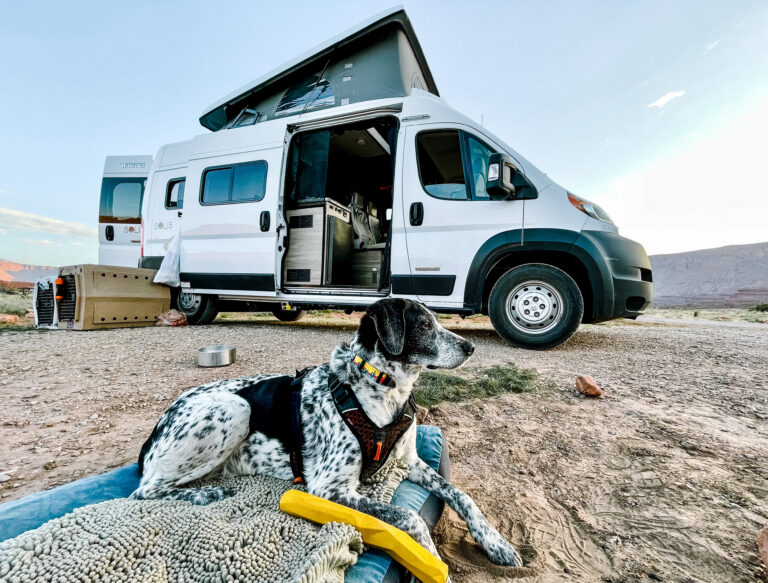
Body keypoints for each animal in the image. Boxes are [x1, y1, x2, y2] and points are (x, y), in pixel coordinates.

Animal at [132, 302, 520, 564]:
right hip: (234, 408)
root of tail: (156, 429)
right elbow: (408, 516)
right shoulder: (328, 488)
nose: (471, 347)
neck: (385, 391)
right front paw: (431, 558)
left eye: (437, 320)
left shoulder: (409, 462)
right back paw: (205, 494)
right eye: (424, 324)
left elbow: (461, 495)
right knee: (144, 491)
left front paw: (496, 543)